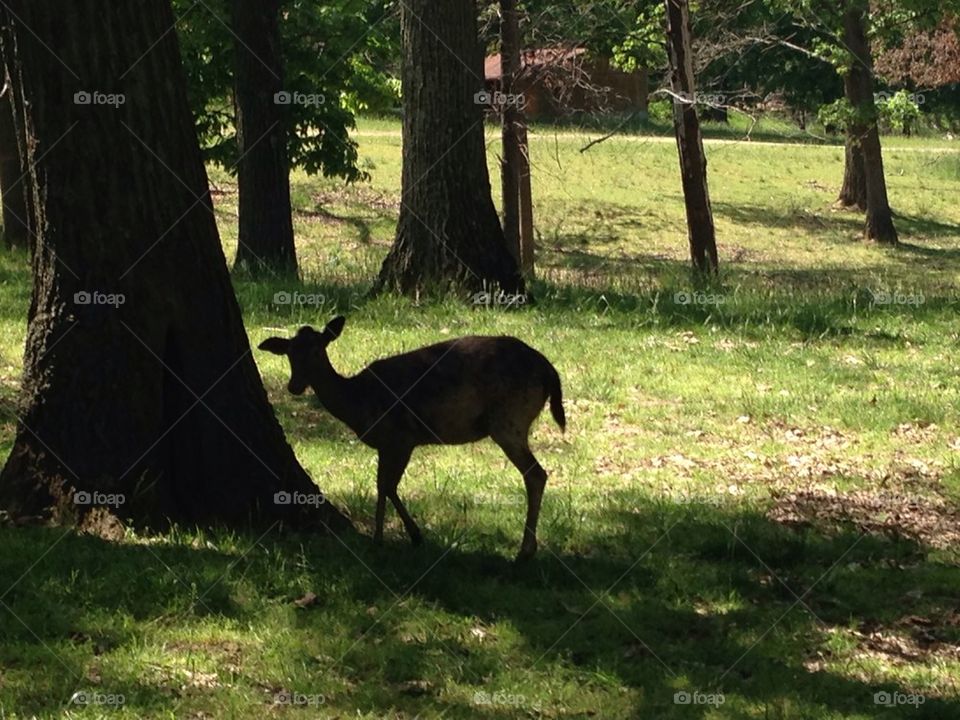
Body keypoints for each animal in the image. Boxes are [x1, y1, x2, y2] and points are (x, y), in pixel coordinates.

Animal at [259, 316, 565, 561]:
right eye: (288, 353)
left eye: (317, 349)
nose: (294, 386)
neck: (357, 403)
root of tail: (550, 371)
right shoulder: (387, 444)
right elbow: (384, 486)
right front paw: (400, 536)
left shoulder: (401, 437)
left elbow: (387, 486)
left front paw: (389, 538)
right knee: (536, 473)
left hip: (509, 419)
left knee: (535, 473)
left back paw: (525, 551)